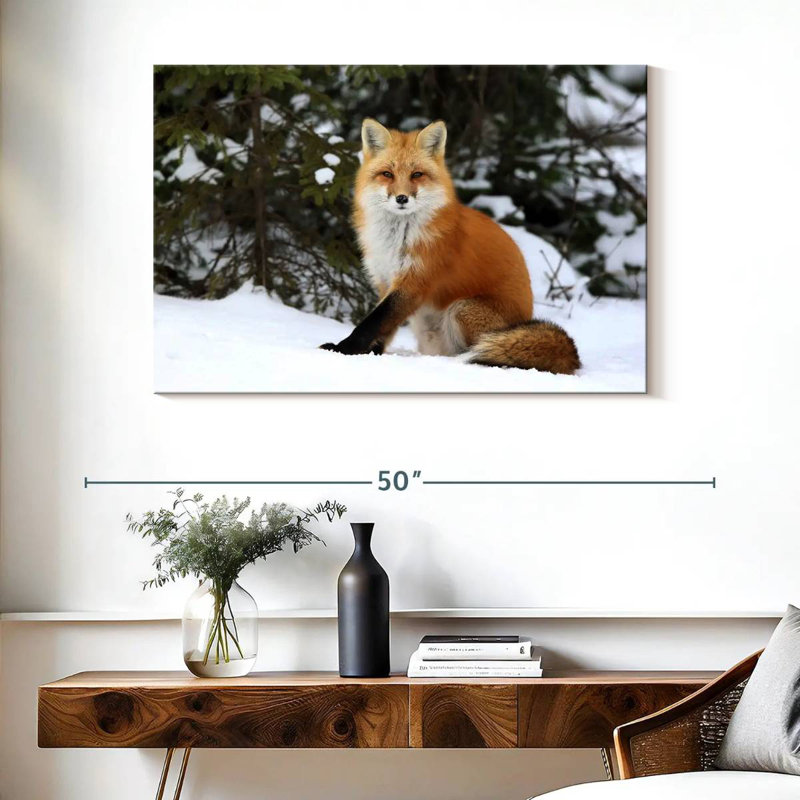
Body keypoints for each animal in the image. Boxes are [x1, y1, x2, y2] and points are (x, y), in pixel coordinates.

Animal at [319, 118, 581, 374]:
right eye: (387, 174)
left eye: (416, 174)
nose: (402, 198)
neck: (397, 238)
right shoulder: (386, 280)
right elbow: (384, 326)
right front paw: (370, 354)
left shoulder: (415, 281)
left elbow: (372, 323)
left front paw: (343, 349)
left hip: (462, 309)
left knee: (479, 350)